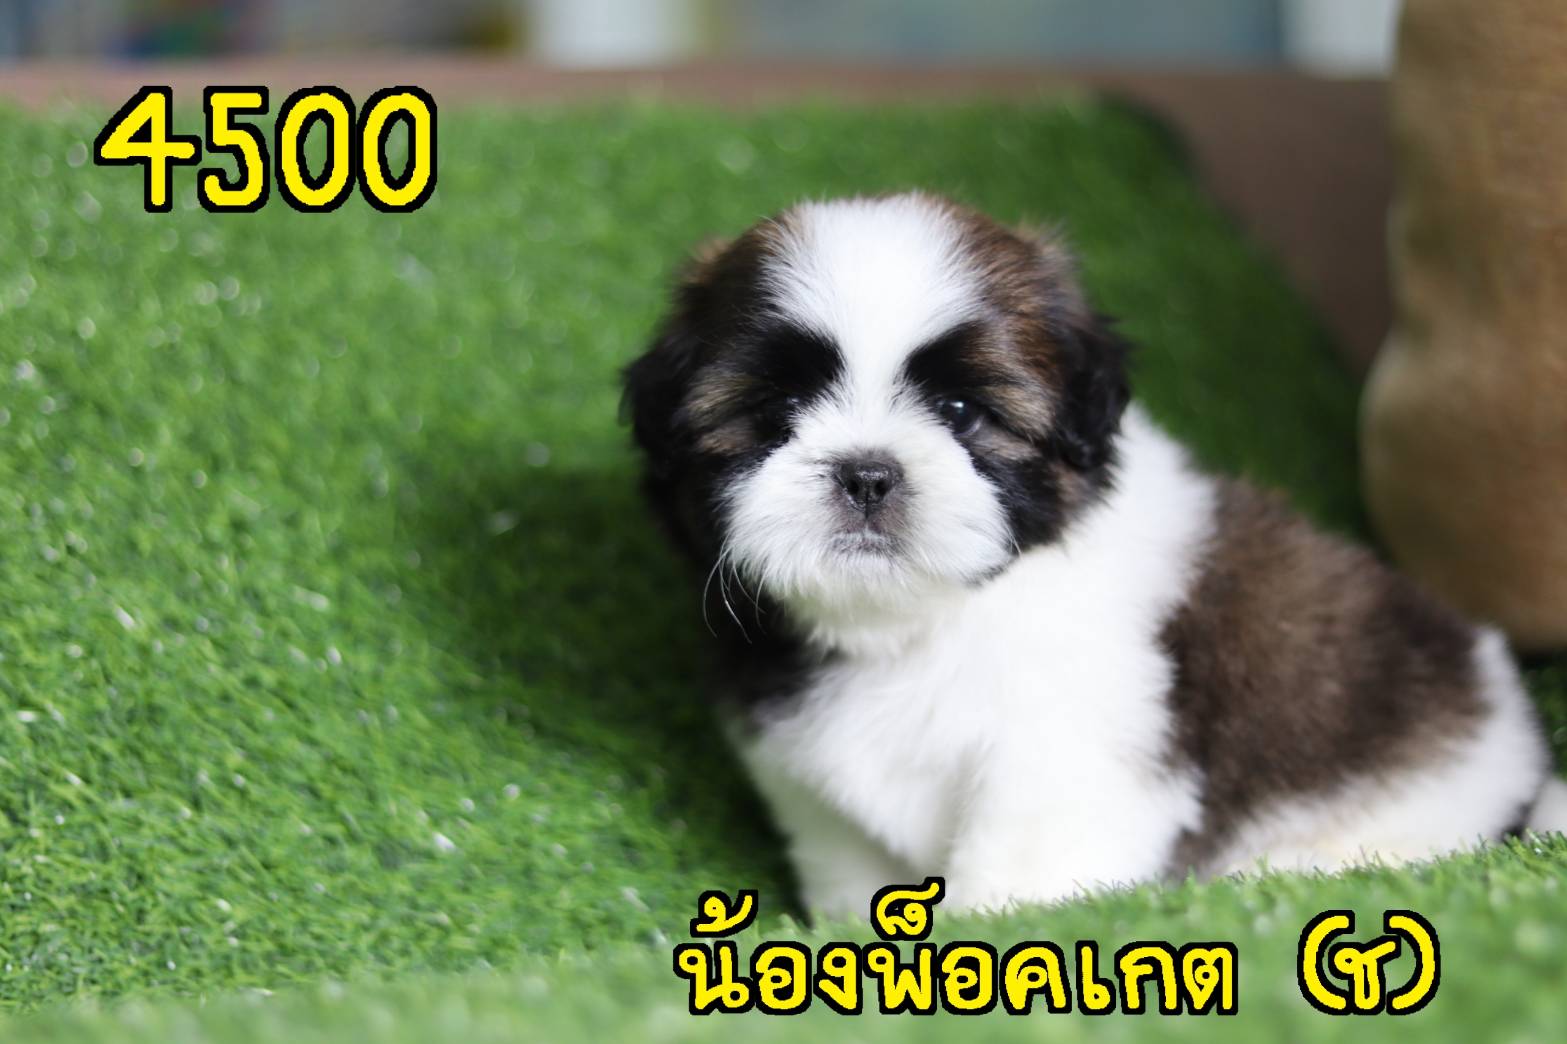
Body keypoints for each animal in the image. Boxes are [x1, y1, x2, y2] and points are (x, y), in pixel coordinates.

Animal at [624, 191, 1562, 917]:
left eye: (962, 412)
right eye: (775, 411)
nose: (866, 472)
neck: (917, 623)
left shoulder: (1069, 762)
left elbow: (1022, 881)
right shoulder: (815, 793)